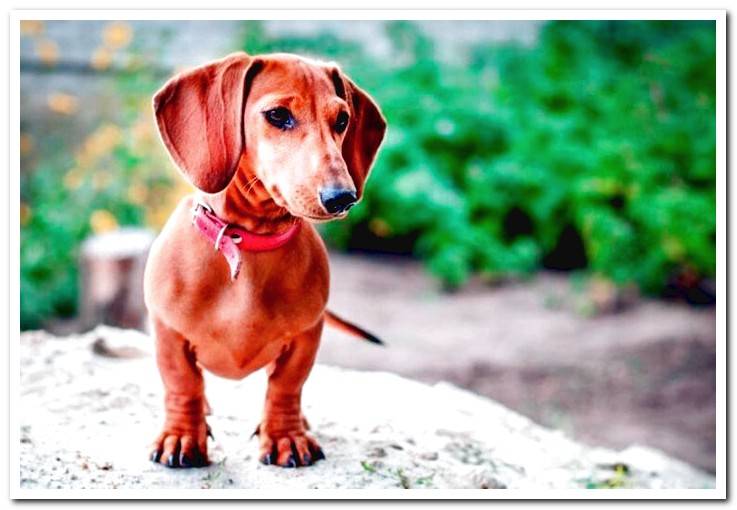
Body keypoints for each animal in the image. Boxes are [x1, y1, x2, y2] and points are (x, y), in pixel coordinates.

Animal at [142, 52, 386, 470]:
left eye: (342, 120)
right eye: (278, 115)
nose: (342, 197)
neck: (247, 244)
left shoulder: (306, 336)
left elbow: (286, 386)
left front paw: (287, 436)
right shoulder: (168, 333)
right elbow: (183, 384)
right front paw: (182, 436)